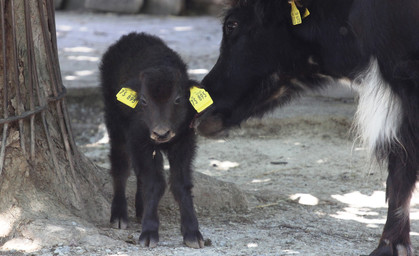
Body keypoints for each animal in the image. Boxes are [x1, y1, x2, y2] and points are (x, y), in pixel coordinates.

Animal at [102, 32, 207, 248]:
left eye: (178, 99)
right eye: (143, 100)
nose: (161, 133)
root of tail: (131, 36)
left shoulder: (184, 144)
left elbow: (180, 184)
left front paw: (193, 233)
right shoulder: (140, 142)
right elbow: (154, 183)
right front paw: (149, 233)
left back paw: (140, 209)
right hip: (116, 126)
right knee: (120, 166)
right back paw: (119, 216)